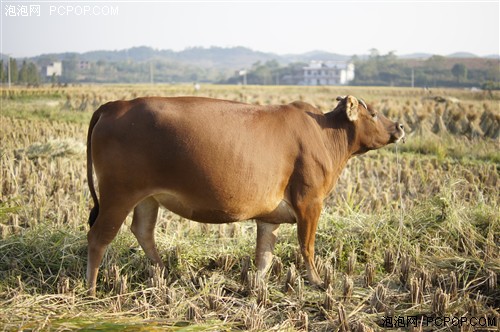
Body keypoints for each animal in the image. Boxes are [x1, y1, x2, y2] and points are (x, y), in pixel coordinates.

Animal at [87, 94, 406, 294]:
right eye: (373, 113)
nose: (400, 126)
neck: (324, 134)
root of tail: (115, 105)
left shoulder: (270, 216)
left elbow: (264, 255)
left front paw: (255, 286)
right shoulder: (310, 203)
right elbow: (307, 246)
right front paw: (318, 281)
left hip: (146, 198)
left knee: (143, 231)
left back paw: (165, 272)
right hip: (118, 195)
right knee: (99, 237)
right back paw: (91, 290)